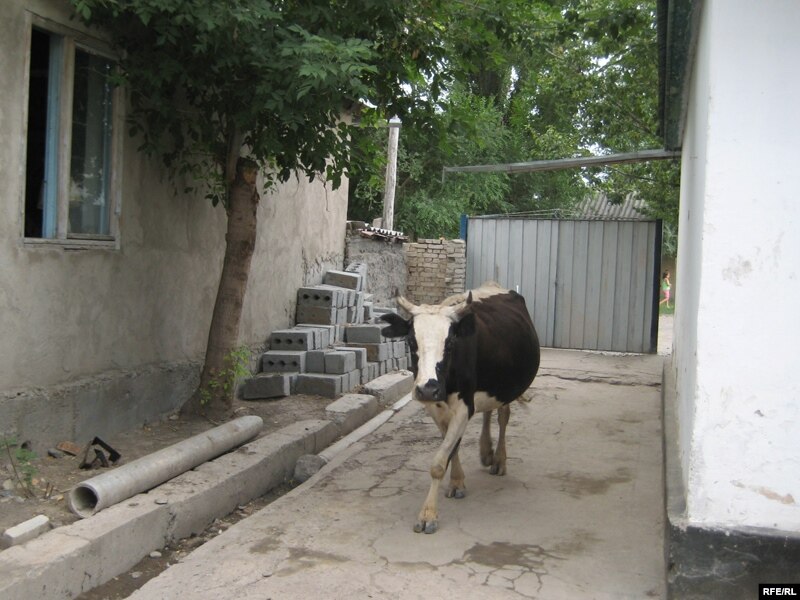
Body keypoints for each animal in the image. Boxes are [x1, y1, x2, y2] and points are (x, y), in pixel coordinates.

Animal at [380, 282, 540, 536]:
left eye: (450, 343)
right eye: (412, 342)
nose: (428, 389)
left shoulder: (464, 407)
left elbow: (438, 463)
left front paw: (428, 515)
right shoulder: (436, 409)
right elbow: (451, 449)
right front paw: (456, 482)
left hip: (506, 388)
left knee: (503, 417)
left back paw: (499, 460)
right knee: (488, 412)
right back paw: (486, 452)